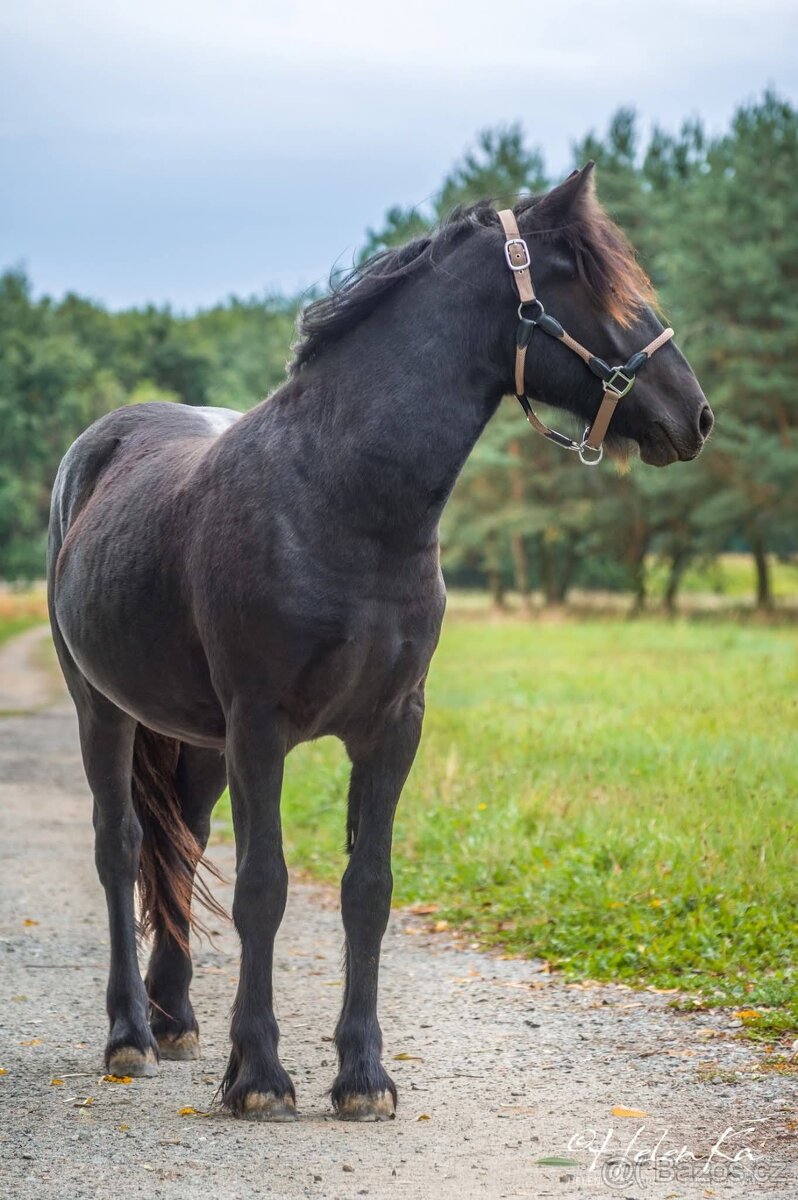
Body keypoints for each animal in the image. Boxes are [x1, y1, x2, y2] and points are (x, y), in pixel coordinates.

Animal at [46, 164, 713, 1122]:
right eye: (592, 287)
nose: (695, 416)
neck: (336, 499)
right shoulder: (260, 729)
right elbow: (264, 888)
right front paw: (261, 1077)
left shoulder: (394, 726)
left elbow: (368, 890)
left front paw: (362, 1078)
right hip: (101, 709)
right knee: (122, 846)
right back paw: (130, 1035)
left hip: (194, 738)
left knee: (183, 844)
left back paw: (176, 1023)